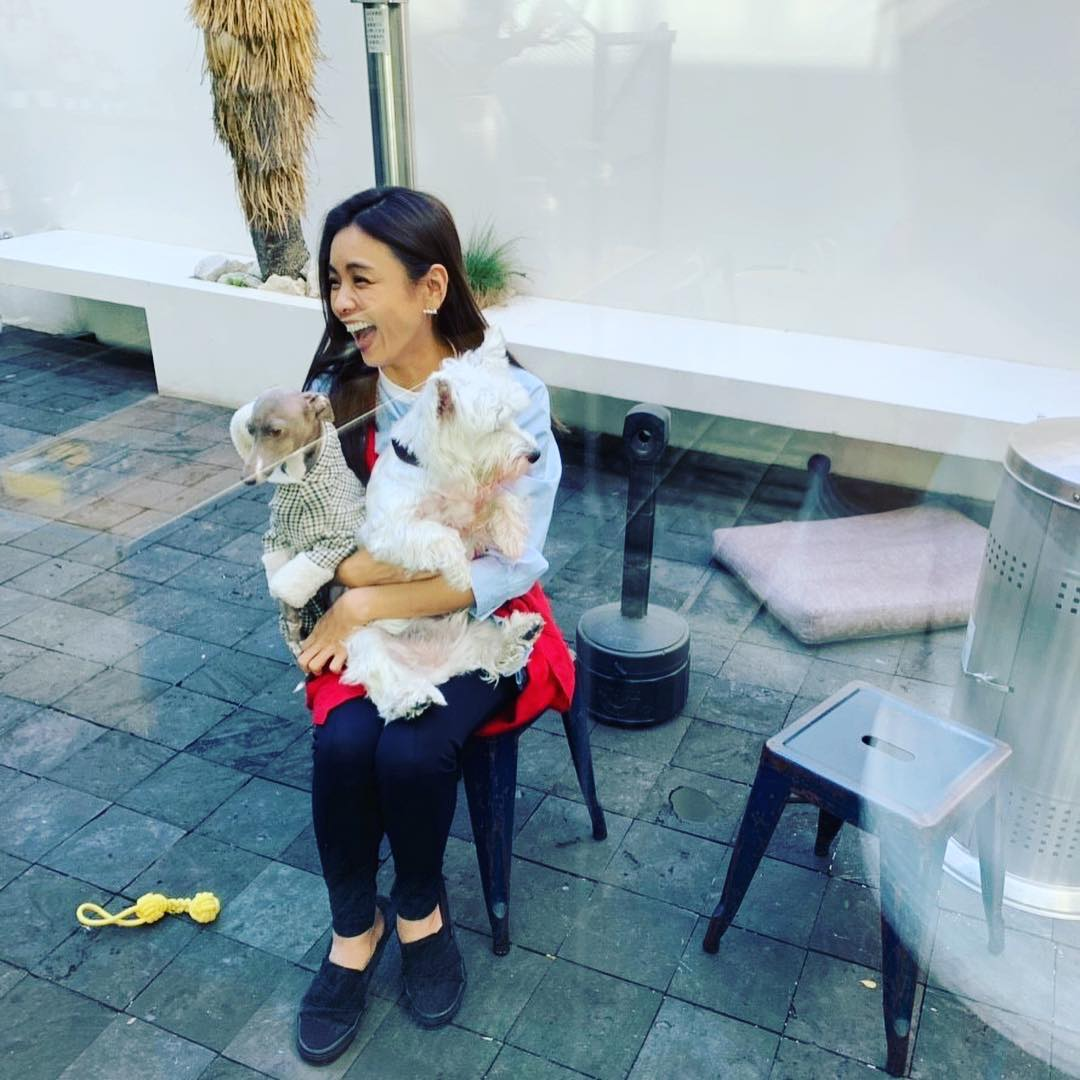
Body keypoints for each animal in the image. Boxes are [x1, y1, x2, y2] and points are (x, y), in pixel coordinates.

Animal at [229, 388, 365, 654]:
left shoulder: (337, 542)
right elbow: (283, 590)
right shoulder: (277, 539)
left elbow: (290, 584)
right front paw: (293, 632)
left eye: (276, 431)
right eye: (250, 429)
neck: (300, 484)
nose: (247, 479)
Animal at [340, 348, 546, 721]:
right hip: (367, 640)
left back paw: (520, 632)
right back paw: (412, 699)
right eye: (495, 426)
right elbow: (439, 534)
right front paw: (460, 572)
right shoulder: (389, 531)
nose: (535, 454)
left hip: (468, 631)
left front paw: (512, 537)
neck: (435, 471)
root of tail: (429, 664)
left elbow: (502, 500)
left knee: (482, 646)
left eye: (515, 416)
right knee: (384, 677)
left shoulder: (473, 509)